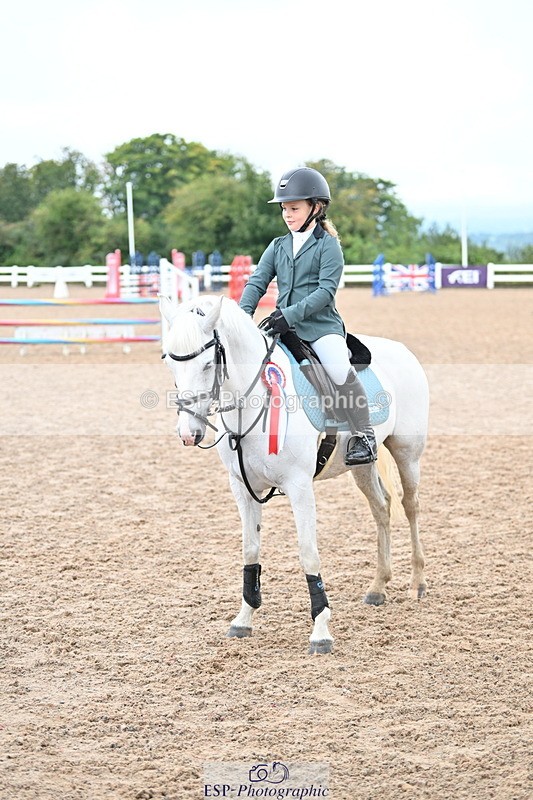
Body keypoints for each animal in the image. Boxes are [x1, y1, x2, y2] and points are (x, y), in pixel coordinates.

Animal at [159, 294, 429, 654]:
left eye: (207, 364)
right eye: (171, 365)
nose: (189, 433)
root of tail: (402, 350)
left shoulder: (299, 486)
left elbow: (308, 552)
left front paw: (321, 631)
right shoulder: (242, 487)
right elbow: (250, 549)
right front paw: (243, 620)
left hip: (407, 453)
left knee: (410, 507)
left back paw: (417, 583)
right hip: (360, 466)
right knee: (382, 509)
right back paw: (378, 587)